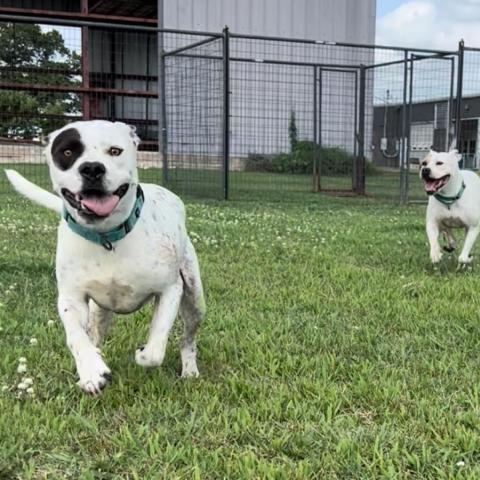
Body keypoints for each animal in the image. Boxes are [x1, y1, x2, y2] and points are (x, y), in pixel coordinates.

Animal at [5, 119, 204, 394]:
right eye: (68, 152)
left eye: (115, 151)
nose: (91, 168)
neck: (107, 237)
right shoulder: (72, 299)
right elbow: (77, 338)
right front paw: (91, 371)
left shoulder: (170, 290)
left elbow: (155, 347)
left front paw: (143, 353)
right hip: (99, 311)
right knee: (94, 336)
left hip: (195, 300)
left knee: (187, 340)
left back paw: (190, 370)